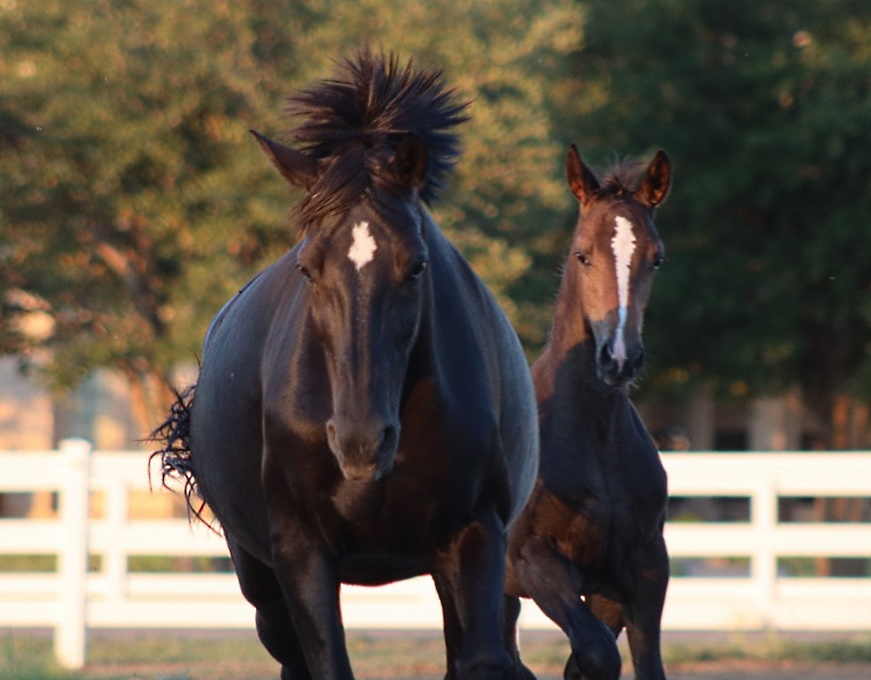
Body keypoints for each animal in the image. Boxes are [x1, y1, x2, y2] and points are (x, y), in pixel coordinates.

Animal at [152, 52, 539, 680]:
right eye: (308, 268)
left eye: (416, 265)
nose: (361, 441)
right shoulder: (300, 551)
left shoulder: (475, 534)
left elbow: (482, 659)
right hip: (260, 584)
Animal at [503, 144, 671, 680]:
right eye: (582, 254)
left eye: (656, 258)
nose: (618, 358)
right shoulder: (535, 561)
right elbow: (597, 654)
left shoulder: (642, 568)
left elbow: (630, 660)